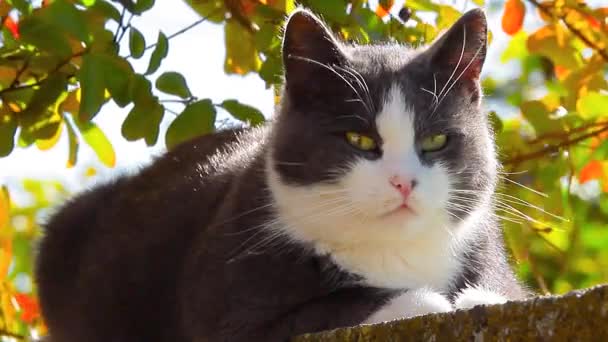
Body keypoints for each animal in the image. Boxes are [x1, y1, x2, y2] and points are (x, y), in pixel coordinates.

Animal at [34, 8, 528, 342]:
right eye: (359, 139)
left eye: (436, 141)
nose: (403, 182)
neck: (395, 252)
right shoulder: (227, 303)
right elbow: (334, 308)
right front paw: (431, 298)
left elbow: (500, 292)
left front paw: (480, 296)